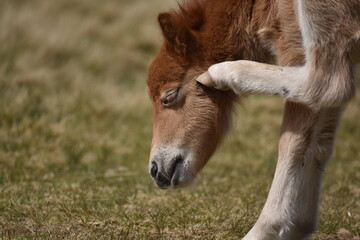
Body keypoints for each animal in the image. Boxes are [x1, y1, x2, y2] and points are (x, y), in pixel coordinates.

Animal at [146, 0, 358, 239]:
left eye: (169, 96)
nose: (155, 170)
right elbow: (319, 142)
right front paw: (298, 225)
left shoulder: (294, 42)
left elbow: (292, 141)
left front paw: (267, 229)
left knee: (329, 83)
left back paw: (219, 72)